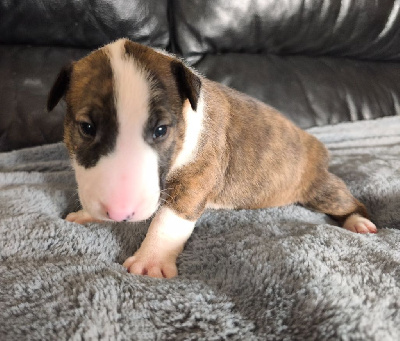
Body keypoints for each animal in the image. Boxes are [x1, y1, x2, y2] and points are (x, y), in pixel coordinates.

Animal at [48, 38, 376, 278]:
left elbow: (168, 221)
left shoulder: (197, 178)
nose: (118, 212)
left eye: (160, 130)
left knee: (347, 200)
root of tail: (314, 143)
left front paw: (150, 261)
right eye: (87, 128)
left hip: (319, 188)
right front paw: (88, 213)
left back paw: (359, 221)